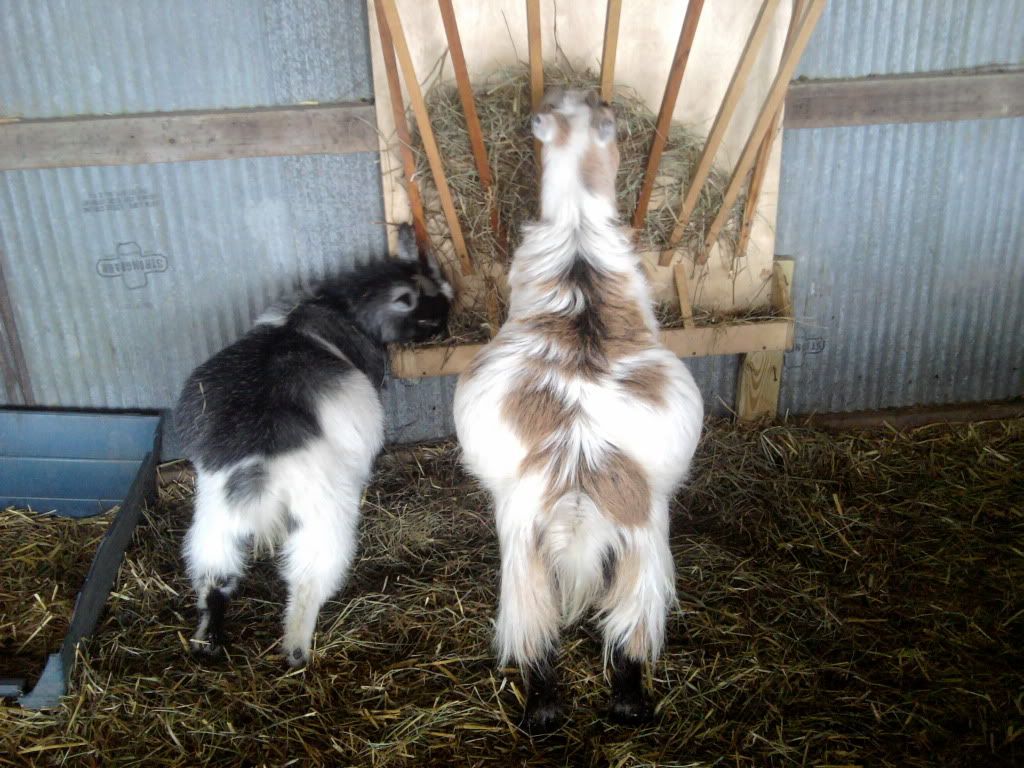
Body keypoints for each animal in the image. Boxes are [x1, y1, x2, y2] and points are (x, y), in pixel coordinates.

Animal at [175, 225, 451, 667]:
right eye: (421, 302)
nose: (446, 320)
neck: (334, 308)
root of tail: (262, 471)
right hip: (323, 520)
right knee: (307, 582)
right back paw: (296, 648)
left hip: (216, 517)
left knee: (213, 576)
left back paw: (208, 639)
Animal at [454, 89, 703, 731]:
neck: (577, 233)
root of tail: (581, 469)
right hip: (637, 552)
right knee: (627, 634)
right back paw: (621, 706)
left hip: (531, 558)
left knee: (541, 637)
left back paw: (547, 712)